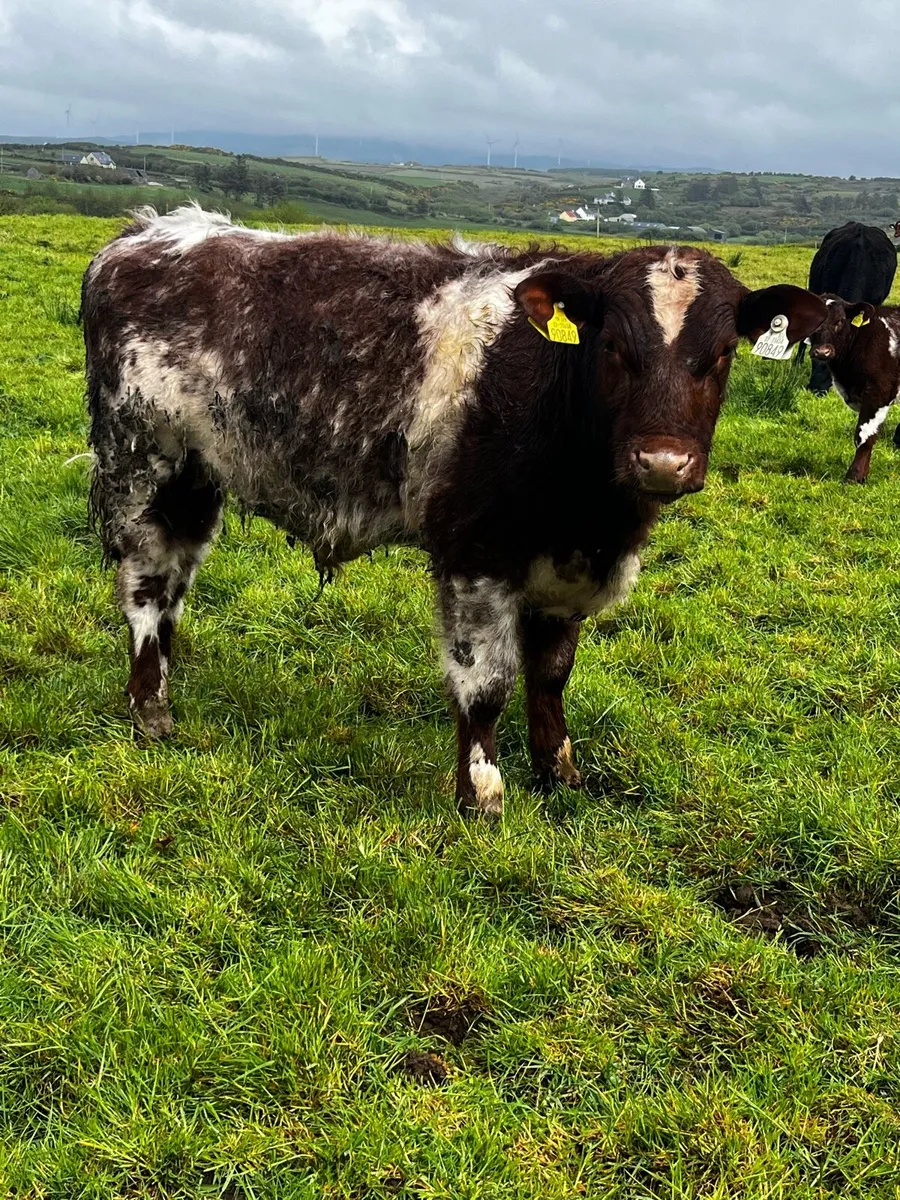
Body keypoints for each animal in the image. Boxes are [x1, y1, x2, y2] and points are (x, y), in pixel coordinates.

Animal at [82, 205, 826, 817]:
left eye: (723, 353)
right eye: (614, 347)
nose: (663, 463)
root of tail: (147, 232)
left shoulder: (565, 565)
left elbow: (551, 675)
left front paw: (559, 773)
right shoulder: (477, 553)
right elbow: (485, 684)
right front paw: (482, 793)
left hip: (197, 478)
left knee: (175, 586)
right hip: (143, 464)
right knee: (146, 587)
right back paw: (150, 709)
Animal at [807, 295, 900, 482]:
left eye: (840, 321)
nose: (822, 352)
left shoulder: (879, 392)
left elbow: (864, 435)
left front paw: (854, 476)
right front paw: (862, 476)